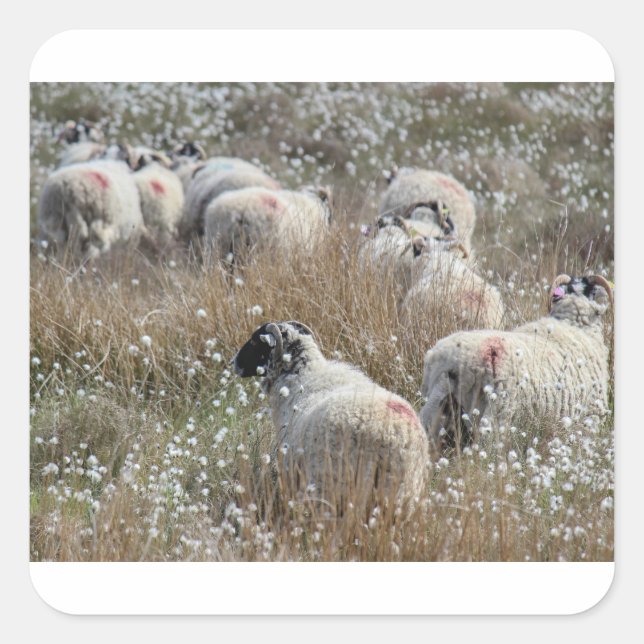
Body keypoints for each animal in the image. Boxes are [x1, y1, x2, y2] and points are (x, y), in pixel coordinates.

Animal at [233, 321, 429, 518]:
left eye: (254, 342)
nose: (234, 363)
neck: (300, 375)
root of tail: (394, 435)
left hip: (336, 484)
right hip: (402, 494)